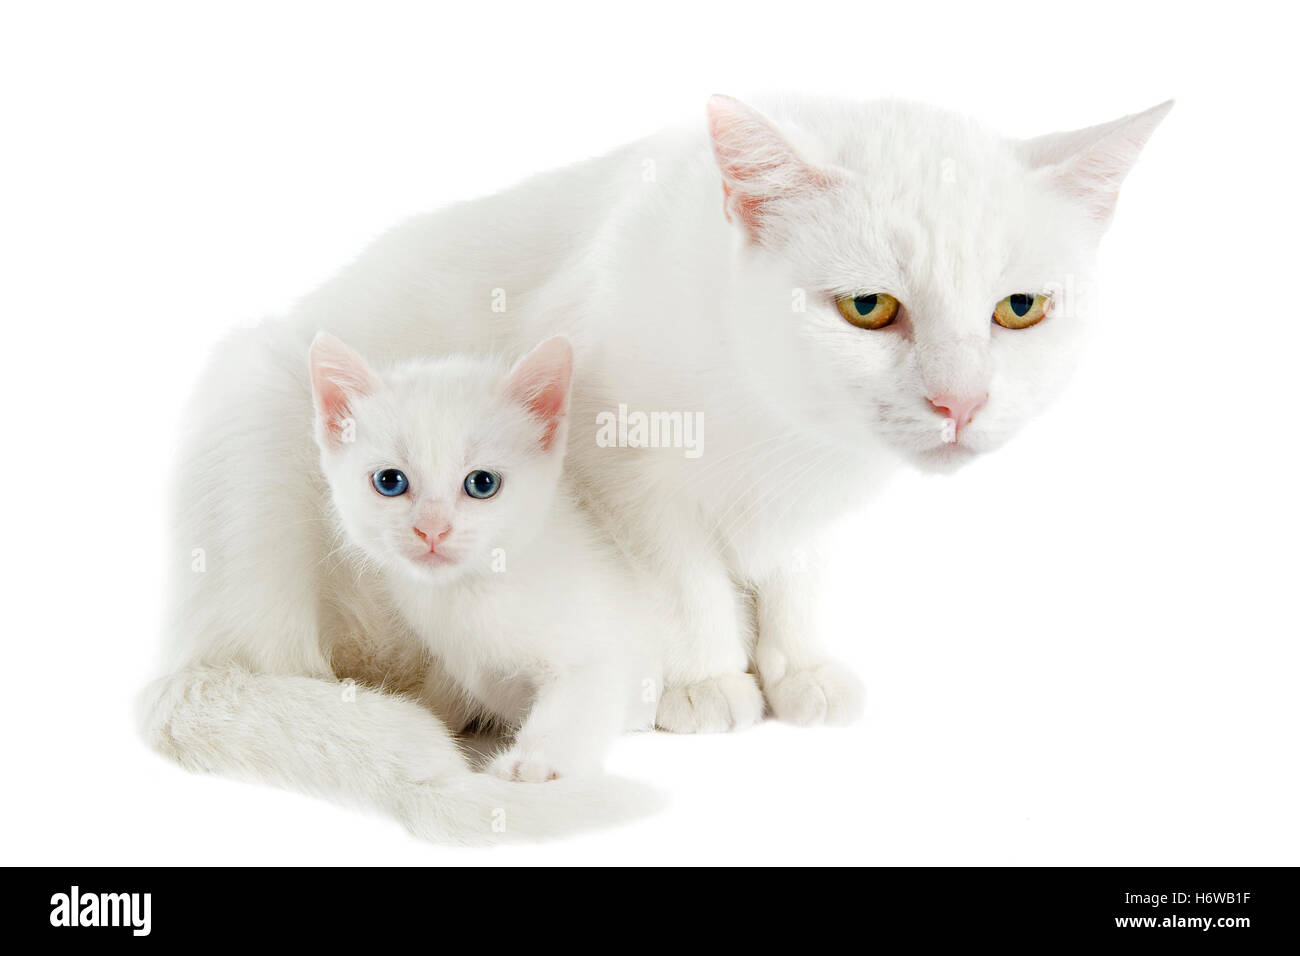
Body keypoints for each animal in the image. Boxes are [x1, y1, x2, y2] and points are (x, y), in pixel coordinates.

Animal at [309, 332, 665, 780]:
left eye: (482, 483)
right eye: (389, 481)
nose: (432, 529)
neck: (469, 592)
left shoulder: (604, 650)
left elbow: (581, 698)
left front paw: (533, 762)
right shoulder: (453, 662)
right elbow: (445, 691)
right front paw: (419, 712)